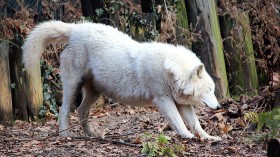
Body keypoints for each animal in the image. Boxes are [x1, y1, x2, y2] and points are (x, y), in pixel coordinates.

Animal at [23, 20, 221, 140]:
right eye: (209, 90)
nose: (219, 107)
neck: (171, 69)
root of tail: (75, 29)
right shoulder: (163, 100)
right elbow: (178, 121)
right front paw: (188, 136)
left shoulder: (182, 103)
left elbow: (196, 123)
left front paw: (208, 137)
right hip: (72, 86)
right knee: (64, 110)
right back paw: (65, 135)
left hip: (94, 93)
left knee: (81, 111)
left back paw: (92, 134)